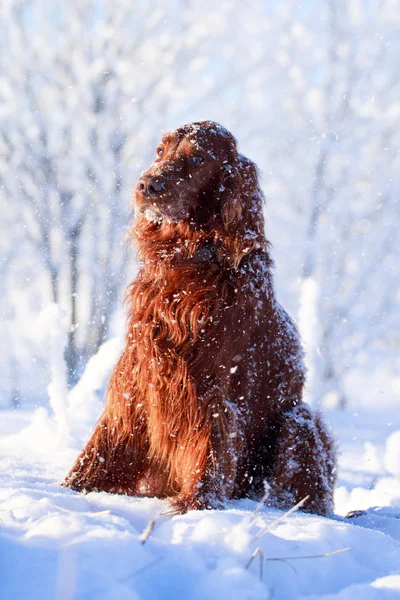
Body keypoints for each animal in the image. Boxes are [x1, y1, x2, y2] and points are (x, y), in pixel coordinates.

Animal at [63, 120, 338, 516]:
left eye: (197, 159)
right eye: (160, 151)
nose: (147, 185)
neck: (187, 263)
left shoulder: (208, 386)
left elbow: (210, 444)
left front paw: (195, 505)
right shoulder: (136, 376)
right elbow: (104, 444)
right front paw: (68, 489)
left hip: (300, 422)